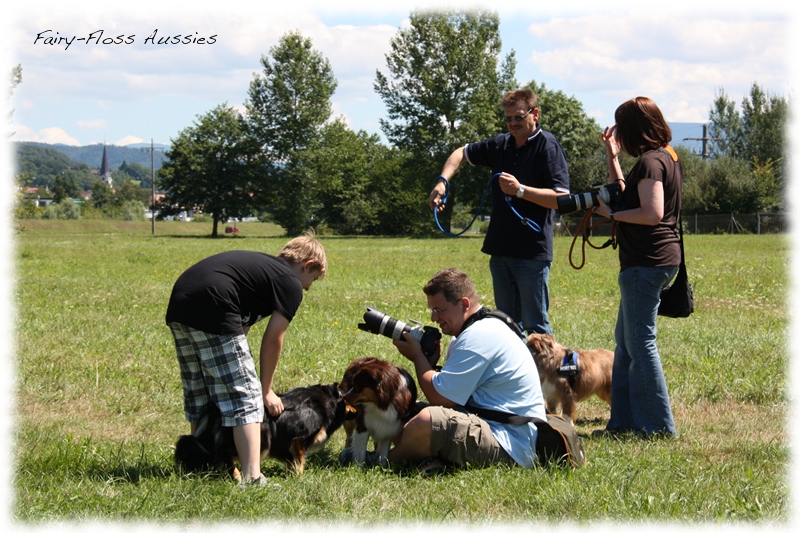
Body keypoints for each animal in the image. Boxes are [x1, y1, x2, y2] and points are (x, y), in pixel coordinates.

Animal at [175, 382, 346, 474]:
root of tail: (216, 411)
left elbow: (290, 461)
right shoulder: (299, 438)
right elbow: (300, 460)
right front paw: (300, 476)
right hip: (262, 441)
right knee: (223, 453)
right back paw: (236, 475)